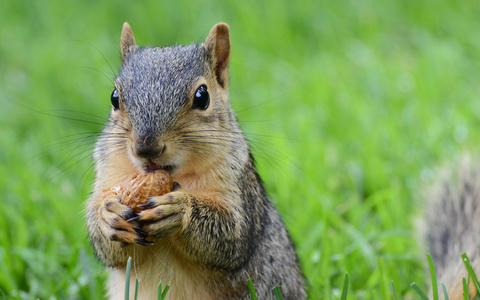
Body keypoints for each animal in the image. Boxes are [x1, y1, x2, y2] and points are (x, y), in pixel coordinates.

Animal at [85, 22, 304, 298]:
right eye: (114, 97)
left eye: (202, 97)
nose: (146, 147)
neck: (175, 176)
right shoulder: (109, 171)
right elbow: (109, 251)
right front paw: (108, 215)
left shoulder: (238, 183)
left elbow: (232, 237)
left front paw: (181, 209)